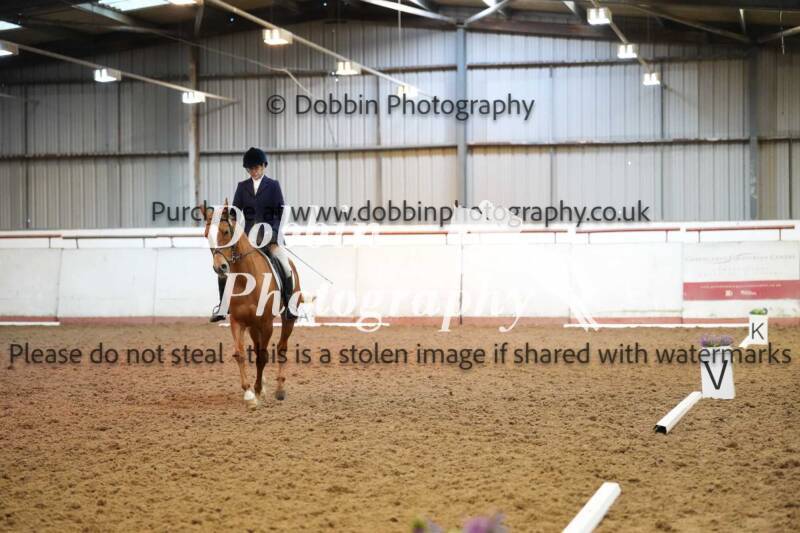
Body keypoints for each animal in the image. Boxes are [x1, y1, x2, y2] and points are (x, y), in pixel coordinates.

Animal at [204, 202, 303, 410]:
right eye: (206, 234)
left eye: (226, 232)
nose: (220, 268)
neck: (245, 279)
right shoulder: (237, 322)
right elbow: (240, 354)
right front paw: (250, 393)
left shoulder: (266, 324)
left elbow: (263, 356)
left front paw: (257, 390)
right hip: (252, 326)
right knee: (257, 348)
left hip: (285, 320)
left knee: (281, 347)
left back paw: (279, 389)